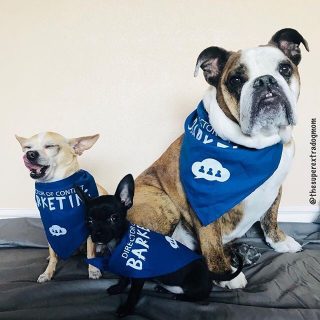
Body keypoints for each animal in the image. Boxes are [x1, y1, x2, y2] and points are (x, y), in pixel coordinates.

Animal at [76, 175, 244, 318]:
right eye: (89, 220)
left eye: (114, 218)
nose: (97, 234)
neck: (119, 241)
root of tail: (209, 272)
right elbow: (123, 280)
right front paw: (118, 288)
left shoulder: (138, 277)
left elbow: (133, 295)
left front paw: (126, 309)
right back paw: (163, 288)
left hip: (196, 287)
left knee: (198, 296)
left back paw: (178, 296)